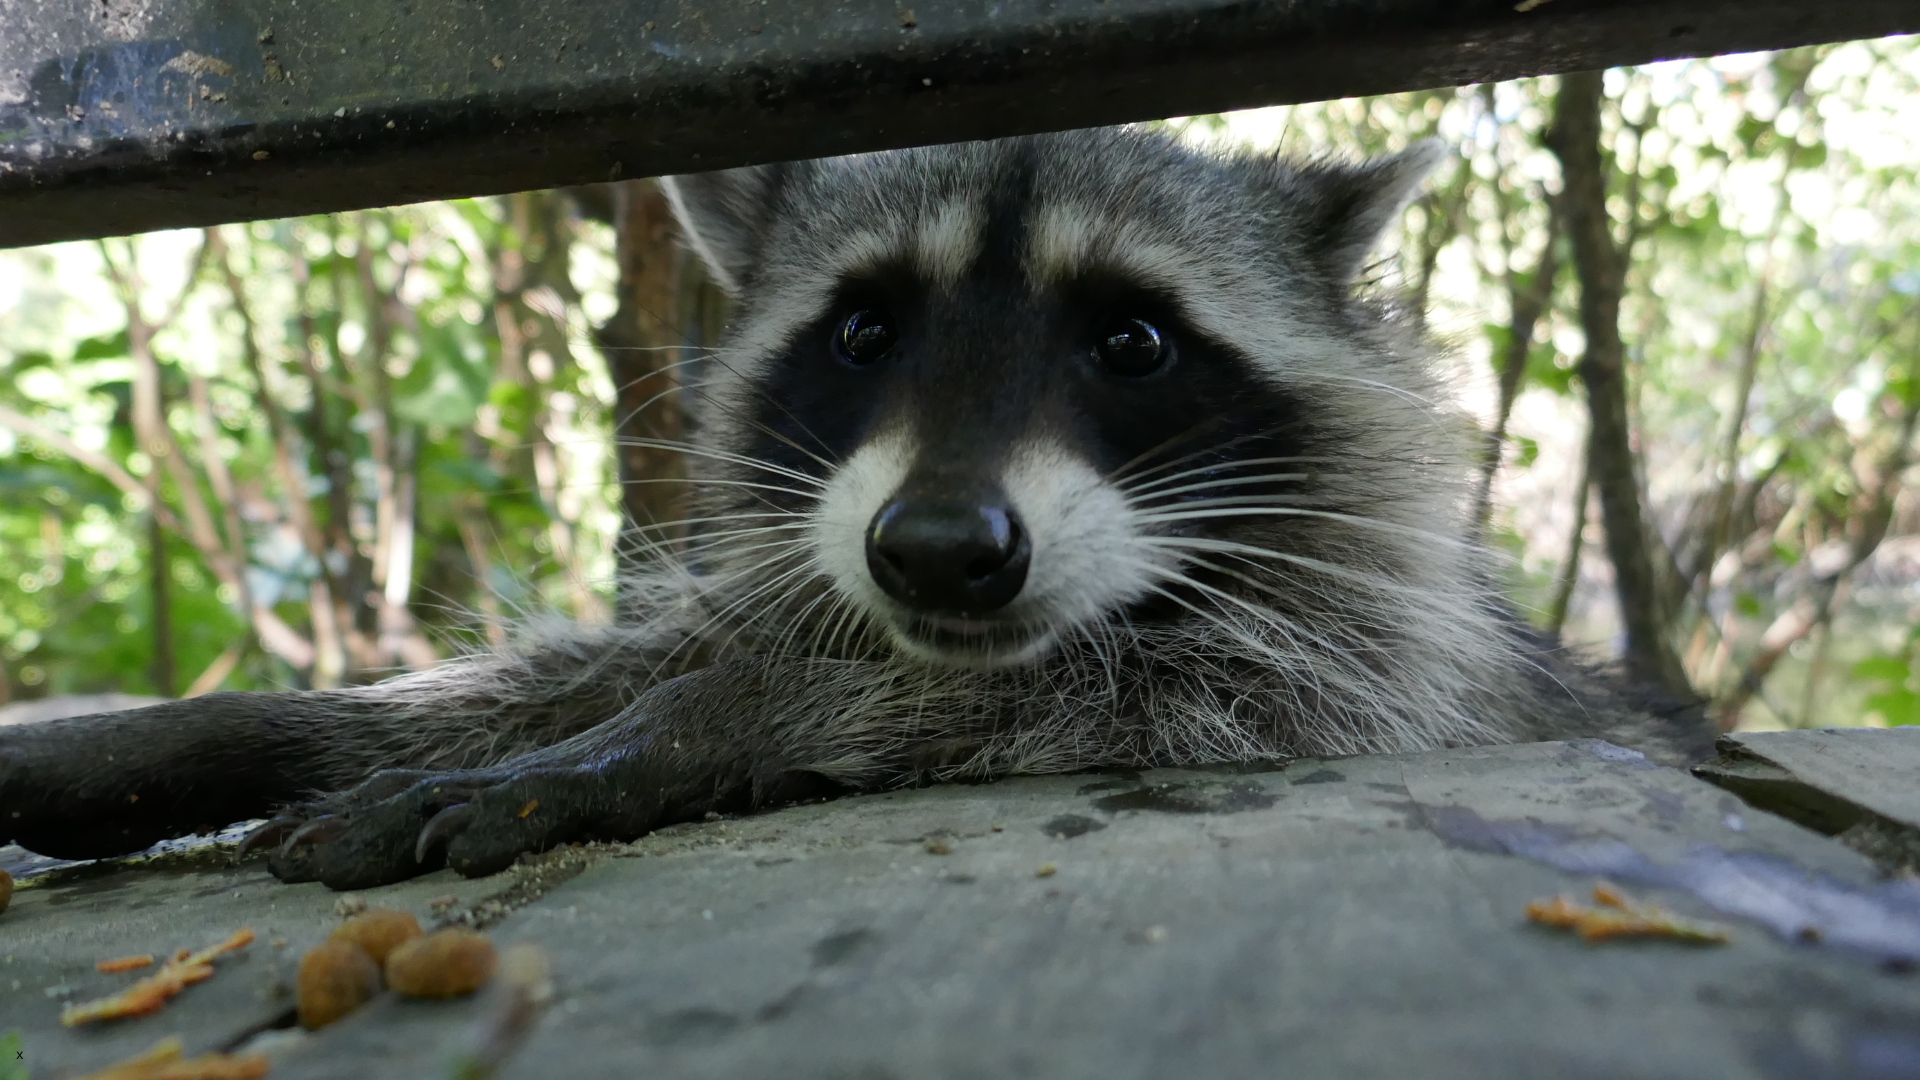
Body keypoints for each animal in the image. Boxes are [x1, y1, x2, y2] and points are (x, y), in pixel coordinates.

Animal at [0, 126, 1708, 890]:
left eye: (1134, 342)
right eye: (865, 331)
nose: (939, 554)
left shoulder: (1361, 666)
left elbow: (1129, 688)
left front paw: (685, 727)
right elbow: (602, 660)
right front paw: (230, 732)